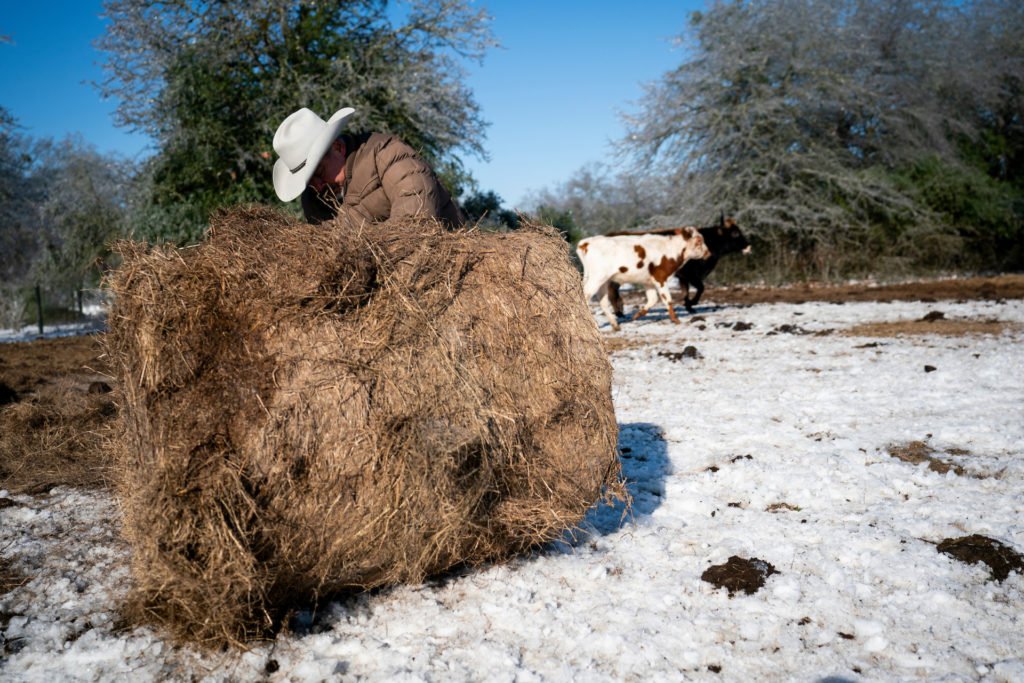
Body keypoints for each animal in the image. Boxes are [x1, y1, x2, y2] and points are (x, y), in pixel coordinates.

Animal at [577, 228, 712, 331]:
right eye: (699, 240)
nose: (708, 253)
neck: (671, 250)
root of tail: (586, 243)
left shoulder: (648, 282)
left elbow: (653, 299)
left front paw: (638, 314)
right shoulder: (660, 277)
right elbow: (667, 299)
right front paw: (676, 319)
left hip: (602, 279)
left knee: (602, 301)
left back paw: (615, 325)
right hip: (598, 277)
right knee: (586, 294)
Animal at [602, 216, 749, 317]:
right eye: (735, 233)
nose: (748, 245)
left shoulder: (683, 276)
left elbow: (686, 291)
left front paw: (689, 306)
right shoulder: (691, 274)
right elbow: (700, 288)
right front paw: (692, 303)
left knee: (613, 291)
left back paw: (620, 311)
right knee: (612, 291)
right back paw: (619, 313)